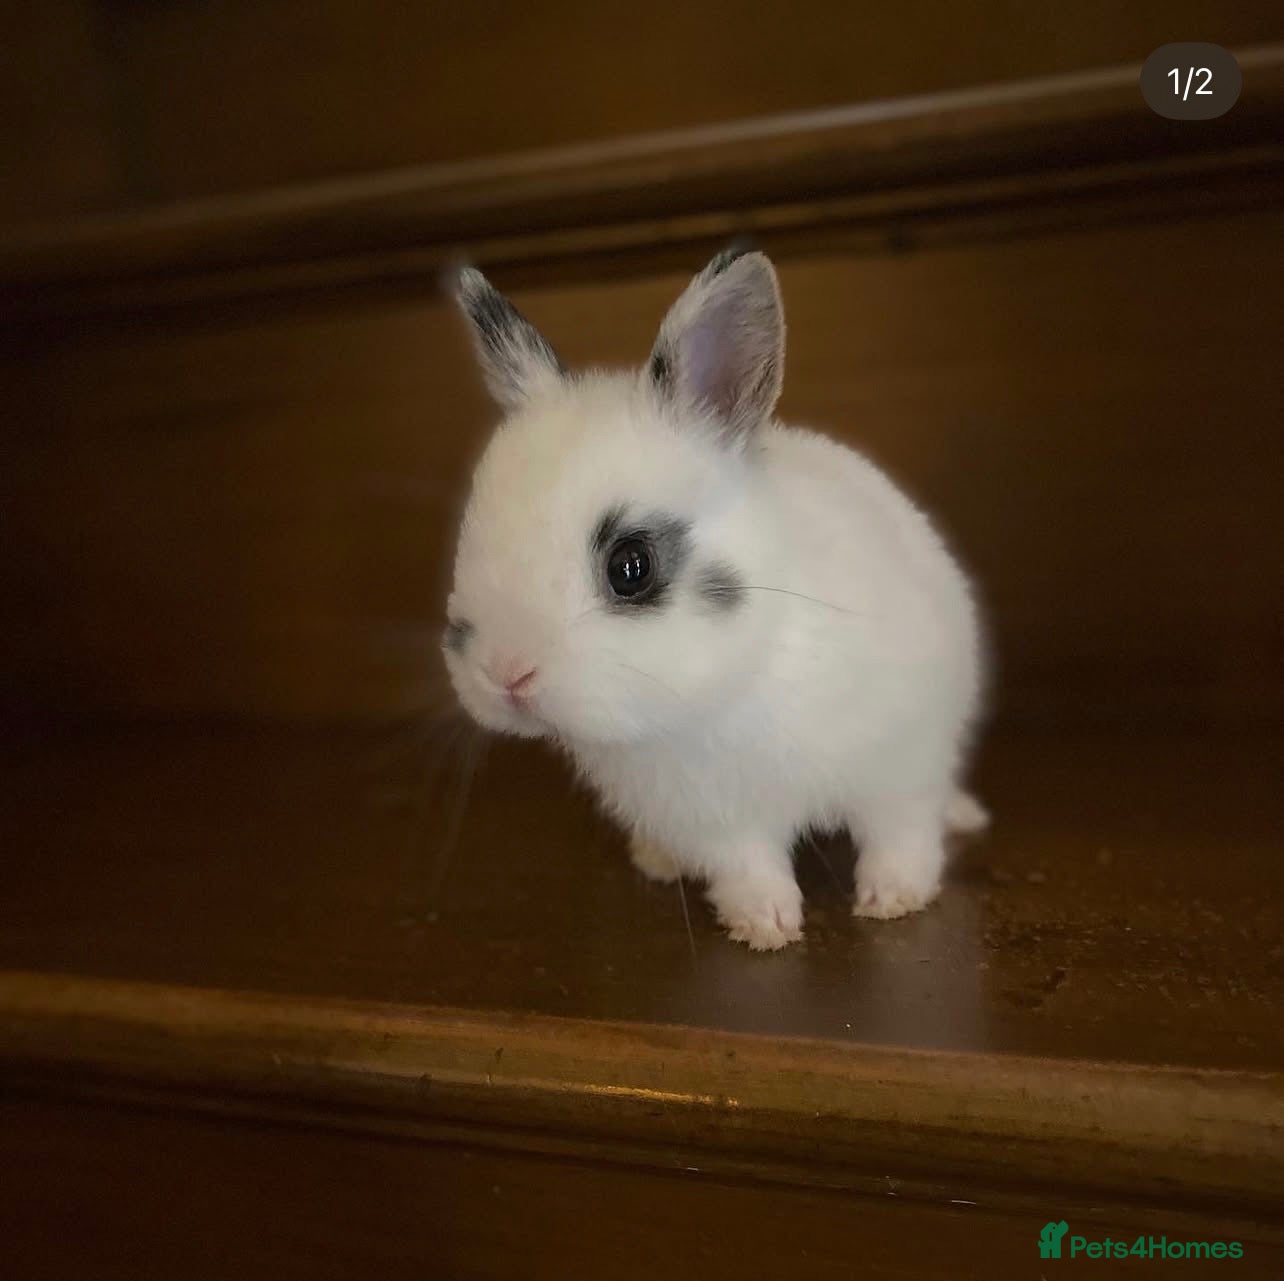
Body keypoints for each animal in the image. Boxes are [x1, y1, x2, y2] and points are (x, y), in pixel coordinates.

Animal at [442, 247, 988, 951]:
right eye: (470, 539)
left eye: (631, 566)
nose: (507, 676)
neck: (727, 688)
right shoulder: (716, 822)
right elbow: (749, 868)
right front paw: (766, 927)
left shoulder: (901, 761)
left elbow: (901, 835)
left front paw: (893, 900)